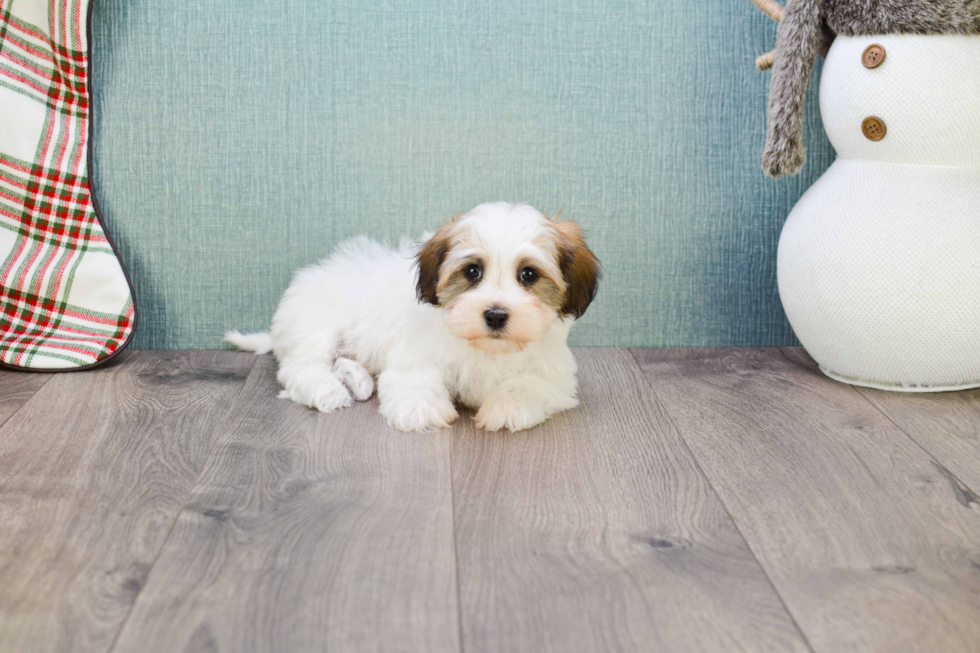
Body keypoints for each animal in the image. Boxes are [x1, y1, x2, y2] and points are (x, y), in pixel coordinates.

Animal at [226, 201, 600, 430]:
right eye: (473, 271)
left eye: (529, 275)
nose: (495, 315)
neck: (487, 348)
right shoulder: (415, 354)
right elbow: (416, 376)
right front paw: (420, 409)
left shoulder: (553, 374)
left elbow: (528, 383)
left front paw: (506, 407)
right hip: (315, 326)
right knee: (302, 367)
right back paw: (328, 389)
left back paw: (357, 379)